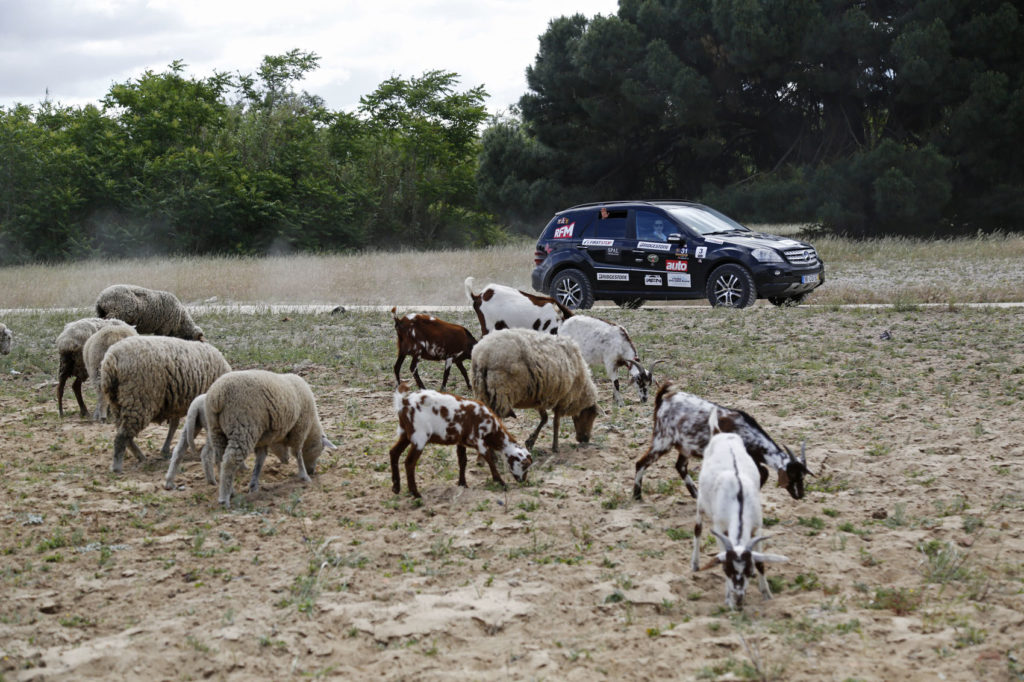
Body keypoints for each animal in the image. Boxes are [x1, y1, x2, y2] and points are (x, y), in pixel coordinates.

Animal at [98, 333, 229, 473]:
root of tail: (111, 360)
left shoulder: (177, 405)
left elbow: (174, 426)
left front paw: (166, 450)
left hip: (117, 402)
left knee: (123, 432)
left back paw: (140, 456)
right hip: (139, 399)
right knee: (122, 436)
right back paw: (117, 466)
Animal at [202, 368, 335, 507]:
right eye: (320, 451)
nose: (312, 471)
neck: (312, 426)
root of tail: (218, 395)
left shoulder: (264, 440)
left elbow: (260, 461)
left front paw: (254, 486)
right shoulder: (299, 429)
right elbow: (298, 453)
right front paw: (304, 476)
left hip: (216, 430)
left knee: (219, 459)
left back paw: (230, 490)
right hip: (243, 427)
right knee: (229, 461)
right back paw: (224, 498)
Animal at [389, 378, 536, 497]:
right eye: (524, 465)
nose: (523, 480)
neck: (492, 428)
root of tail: (403, 401)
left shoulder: (461, 441)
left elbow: (462, 461)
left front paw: (462, 483)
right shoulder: (478, 440)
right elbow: (489, 459)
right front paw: (500, 481)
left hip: (405, 433)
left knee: (393, 452)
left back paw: (396, 487)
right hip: (419, 436)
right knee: (409, 462)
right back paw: (415, 493)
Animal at [630, 382, 806, 499]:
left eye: (803, 476)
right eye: (793, 475)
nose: (800, 495)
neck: (747, 432)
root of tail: (662, 400)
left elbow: (762, 473)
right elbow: (762, 473)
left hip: (685, 446)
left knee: (680, 467)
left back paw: (696, 494)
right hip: (662, 440)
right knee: (641, 463)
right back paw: (637, 495)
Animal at [692, 411, 786, 606]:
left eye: (749, 571)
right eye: (727, 570)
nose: (739, 596)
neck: (739, 503)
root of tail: (719, 433)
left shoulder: (757, 528)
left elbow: (761, 563)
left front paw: (767, 593)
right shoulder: (720, 529)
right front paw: (728, 599)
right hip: (701, 502)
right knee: (697, 528)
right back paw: (695, 564)